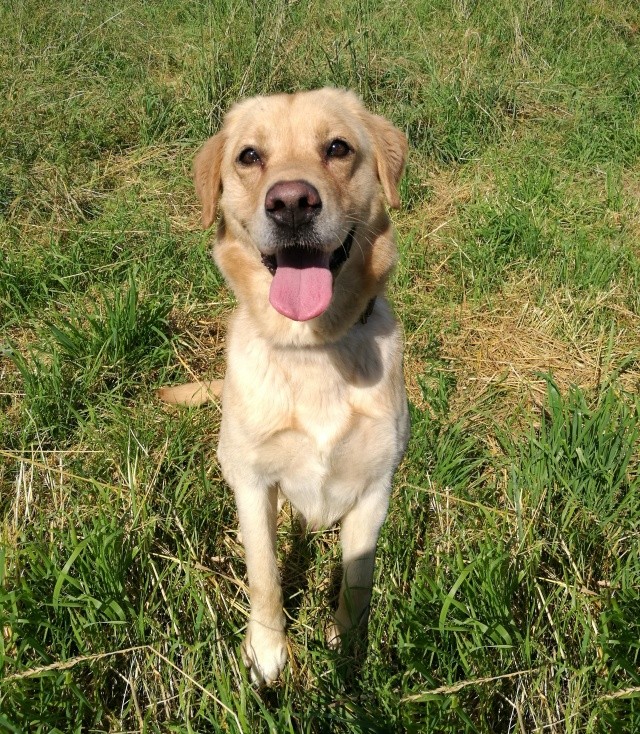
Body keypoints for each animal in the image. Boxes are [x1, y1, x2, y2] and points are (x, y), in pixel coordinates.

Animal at [160, 89, 410, 688]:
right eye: (249, 156)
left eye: (338, 148)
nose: (292, 203)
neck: (312, 350)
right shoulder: (254, 485)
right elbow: (265, 576)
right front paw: (268, 651)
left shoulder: (375, 490)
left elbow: (359, 579)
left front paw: (347, 651)